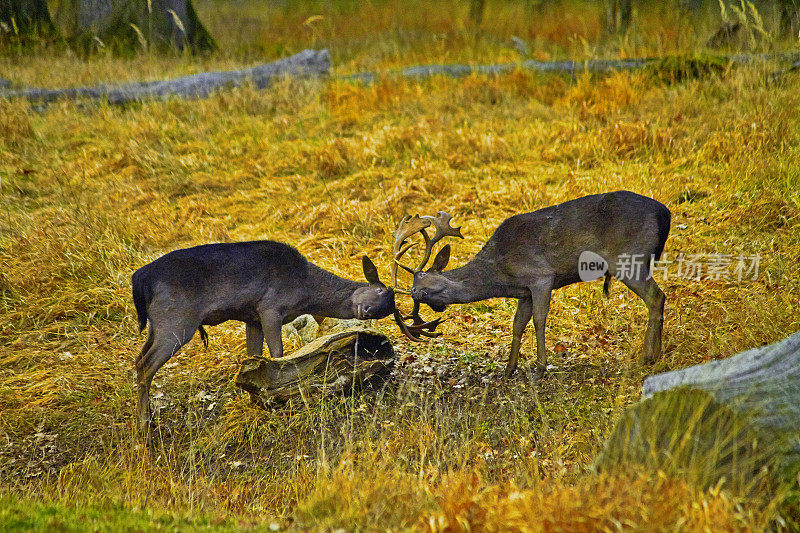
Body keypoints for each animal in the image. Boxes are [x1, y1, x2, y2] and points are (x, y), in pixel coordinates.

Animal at [131, 241, 396, 428]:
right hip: (176, 319)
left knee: (138, 359)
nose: (366, 310)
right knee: (145, 365)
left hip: (158, 324)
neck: (304, 291)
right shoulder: (270, 307)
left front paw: (253, 397)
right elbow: (277, 352)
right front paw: (277, 396)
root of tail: (140, 279)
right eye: (380, 290)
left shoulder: (253, 318)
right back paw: (145, 428)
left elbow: (253, 355)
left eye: (389, 309)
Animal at [398, 191, 668, 378]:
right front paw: (508, 369)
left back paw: (647, 357)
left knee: (656, 297)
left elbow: (539, 319)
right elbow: (517, 324)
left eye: (419, 277)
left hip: (629, 258)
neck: (500, 273)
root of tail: (665, 213)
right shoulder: (524, 292)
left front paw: (540, 368)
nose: (414, 292)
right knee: (659, 297)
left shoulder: (541, 277)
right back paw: (655, 354)